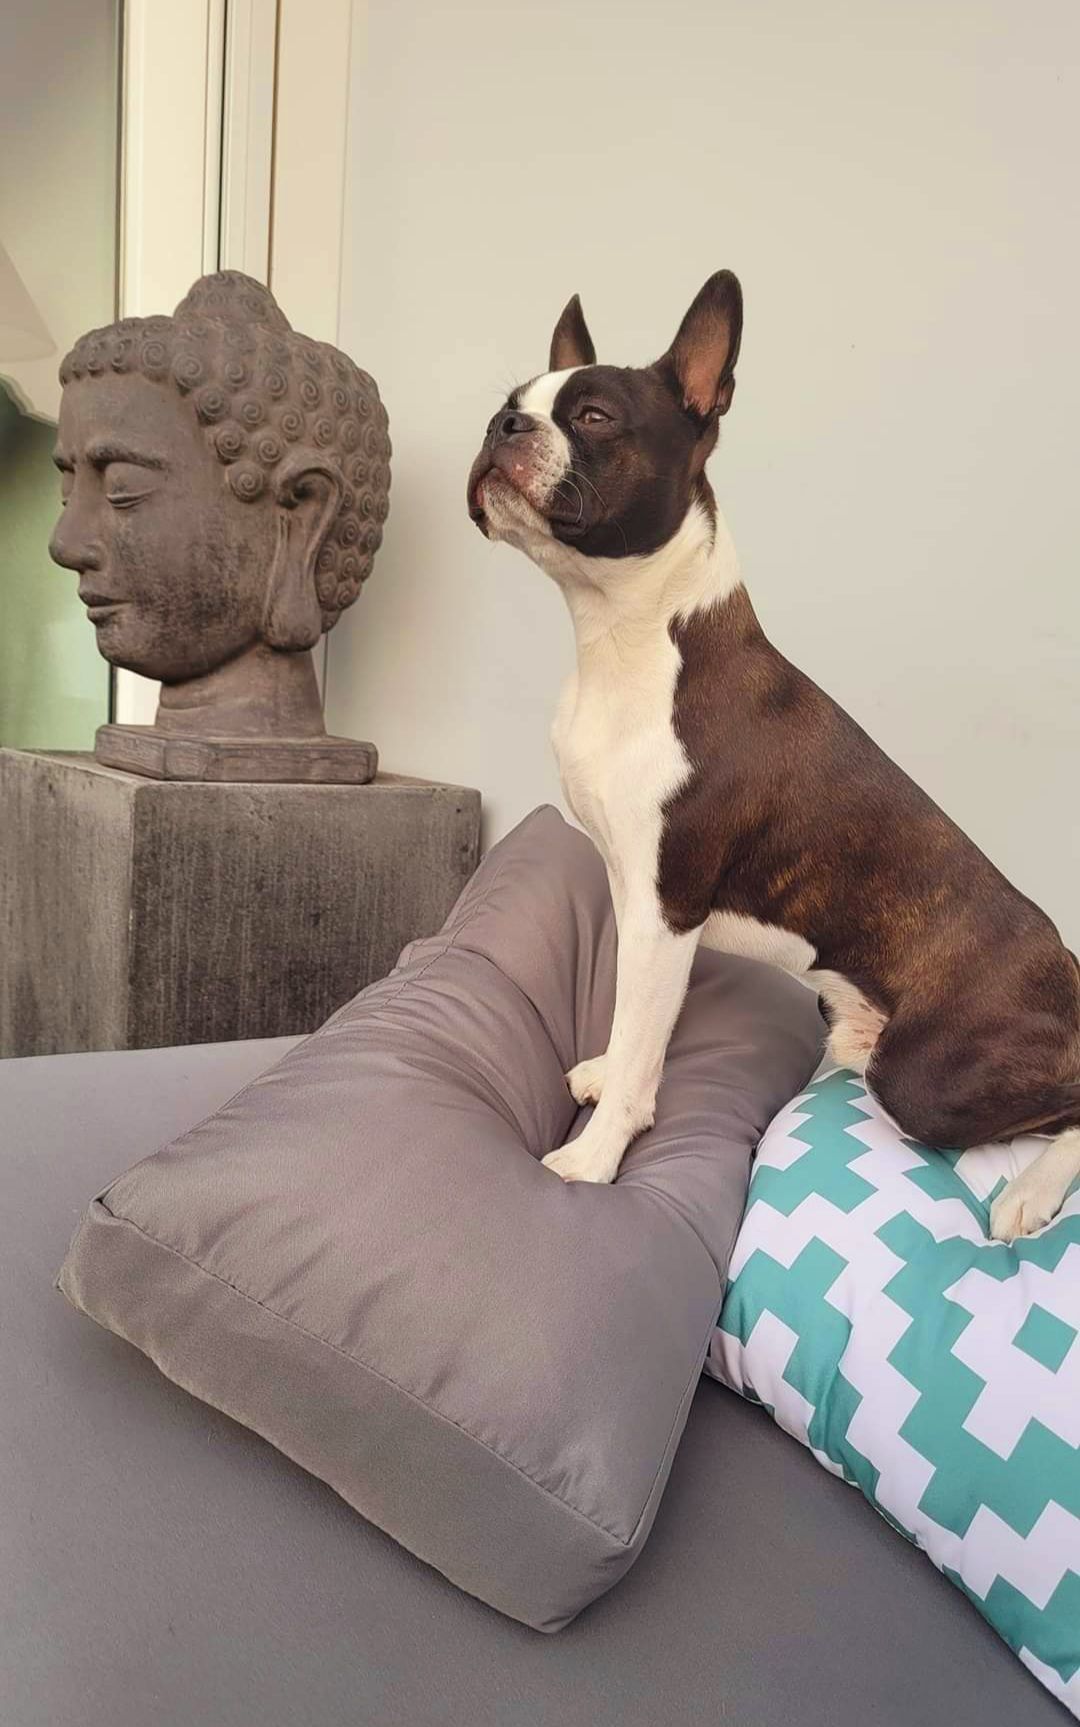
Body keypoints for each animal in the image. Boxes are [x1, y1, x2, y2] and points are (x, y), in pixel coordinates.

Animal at [467, 272, 1080, 1240]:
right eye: (511, 403)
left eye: (595, 416)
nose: (503, 428)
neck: (626, 638)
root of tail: (1072, 976)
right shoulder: (632, 894)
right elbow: (630, 1019)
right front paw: (605, 1071)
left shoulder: (667, 905)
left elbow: (644, 1042)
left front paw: (593, 1159)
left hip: (928, 1076)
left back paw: (1030, 1190)